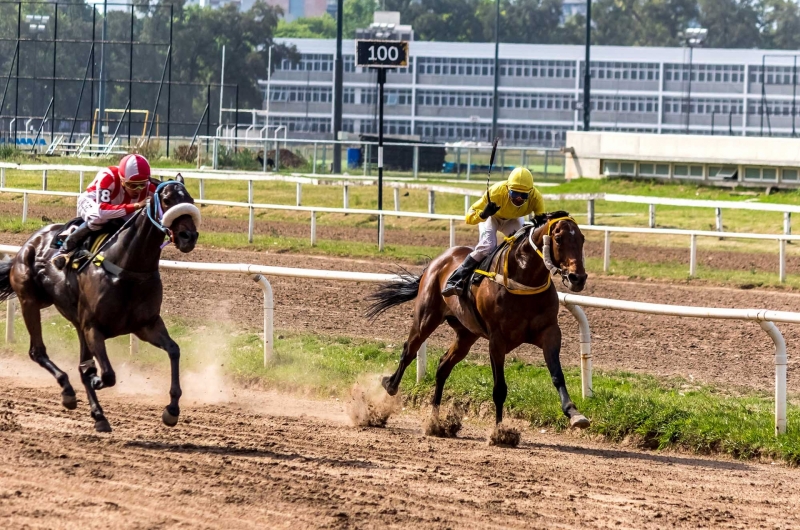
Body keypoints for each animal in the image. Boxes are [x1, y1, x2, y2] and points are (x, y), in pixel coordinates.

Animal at [0, 175, 202, 432]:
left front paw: (172, 409)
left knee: (79, 364)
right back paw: (69, 392)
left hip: (73, 320)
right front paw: (95, 380)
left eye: (190, 200)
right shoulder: (93, 327)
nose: (189, 237)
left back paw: (98, 414)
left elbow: (174, 350)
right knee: (38, 352)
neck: (127, 268)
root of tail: (28, 245)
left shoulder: (146, 325)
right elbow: (106, 375)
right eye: (166, 200)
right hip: (30, 300)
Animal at [368, 212, 588, 432]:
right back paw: (390, 387)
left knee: (443, 366)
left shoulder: (549, 332)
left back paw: (435, 422)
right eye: (558, 239)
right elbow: (499, 388)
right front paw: (499, 432)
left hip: (466, 334)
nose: (578, 278)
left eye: (582, 239)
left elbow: (557, 374)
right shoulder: (497, 339)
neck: (523, 280)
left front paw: (574, 413)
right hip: (426, 318)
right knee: (409, 351)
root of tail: (437, 261)